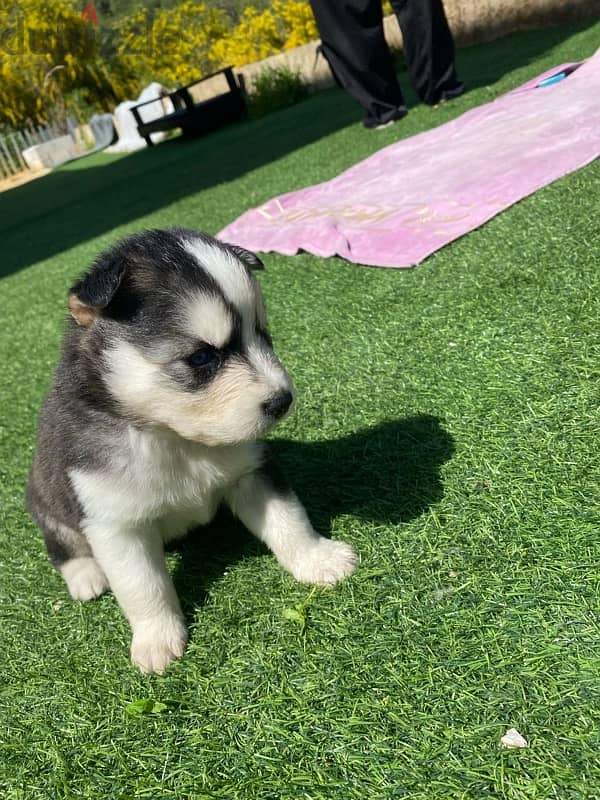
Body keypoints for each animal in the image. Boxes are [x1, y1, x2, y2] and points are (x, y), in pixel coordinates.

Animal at [27, 228, 356, 672]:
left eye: (263, 335)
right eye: (201, 357)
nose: (282, 400)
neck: (177, 439)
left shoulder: (253, 469)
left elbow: (289, 521)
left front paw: (318, 559)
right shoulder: (113, 523)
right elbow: (142, 585)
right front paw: (155, 639)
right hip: (46, 499)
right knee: (60, 543)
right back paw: (85, 575)